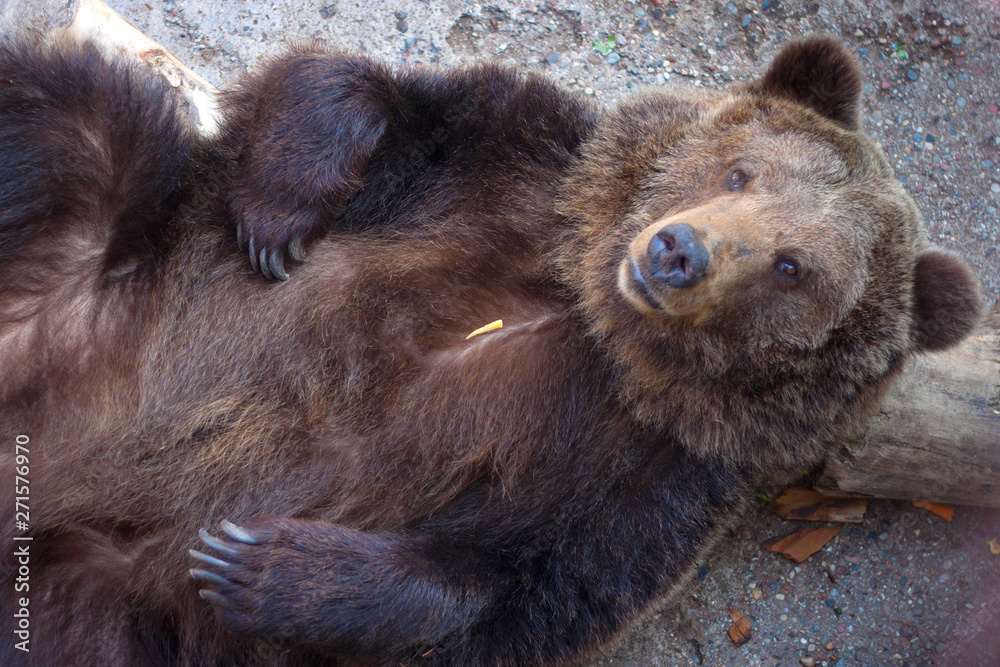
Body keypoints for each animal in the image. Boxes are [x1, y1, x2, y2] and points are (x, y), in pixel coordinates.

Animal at [0, 33, 983, 666]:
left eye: (792, 265)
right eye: (741, 170)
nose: (677, 251)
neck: (587, 311)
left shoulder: (652, 477)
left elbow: (520, 589)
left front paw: (260, 563)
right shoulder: (513, 165)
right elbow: (366, 91)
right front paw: (277, 211)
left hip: (104, 595)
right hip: (105, 267)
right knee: (76, 123)